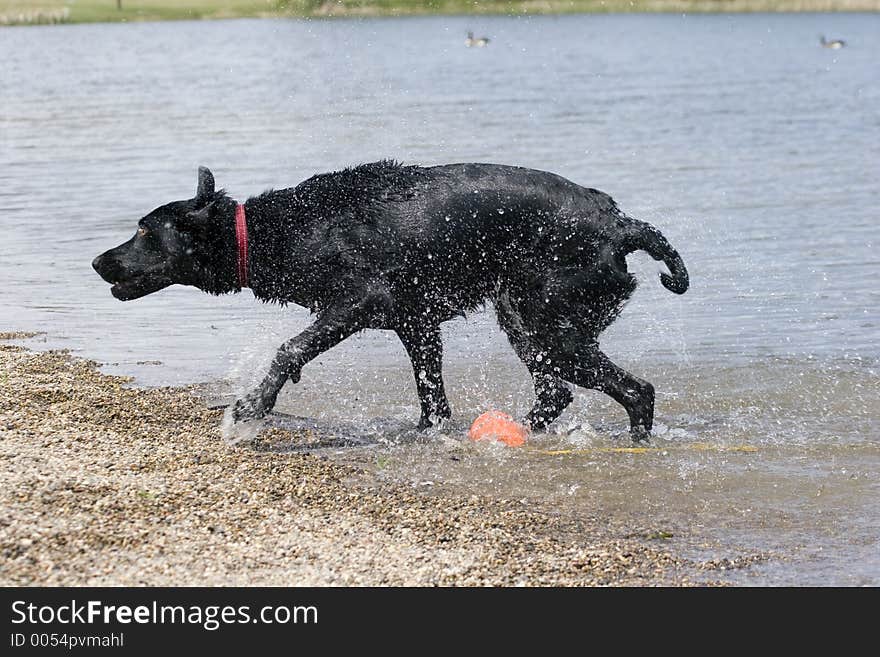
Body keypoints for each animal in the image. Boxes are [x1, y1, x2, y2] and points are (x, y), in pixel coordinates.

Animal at [94, 162, 688, 440]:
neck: (280, 229)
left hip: (551, 325)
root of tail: (620, 224)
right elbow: (433, 400)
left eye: (144, 231)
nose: (99, 262)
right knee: (556, 392)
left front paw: (253, 407)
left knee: (637, 392)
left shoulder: (358, 302)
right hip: (527, 324)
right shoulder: (418, 325)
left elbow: (289, 350)